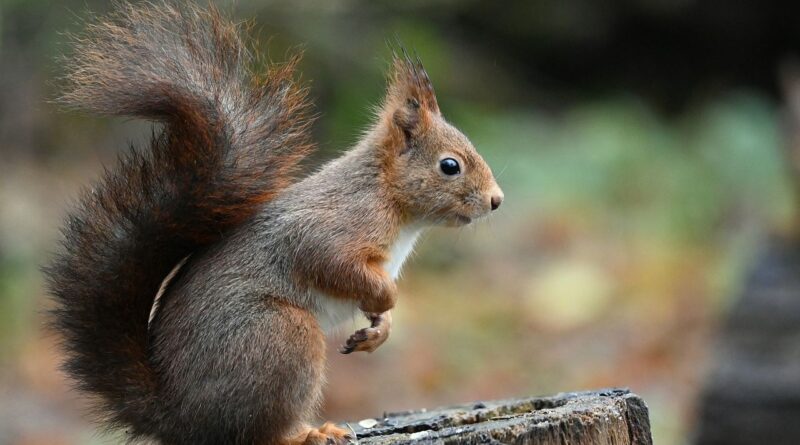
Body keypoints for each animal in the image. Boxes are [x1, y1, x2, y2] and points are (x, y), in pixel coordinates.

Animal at [45, 1, 500, 442]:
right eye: (450, 166)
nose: (496, 201)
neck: (388, 197)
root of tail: (179, 417)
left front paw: (378, 329)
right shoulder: (334, 225)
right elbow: (329, 261)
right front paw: (387, 298)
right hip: (281, 336)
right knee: (257, 432)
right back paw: (308, 434)